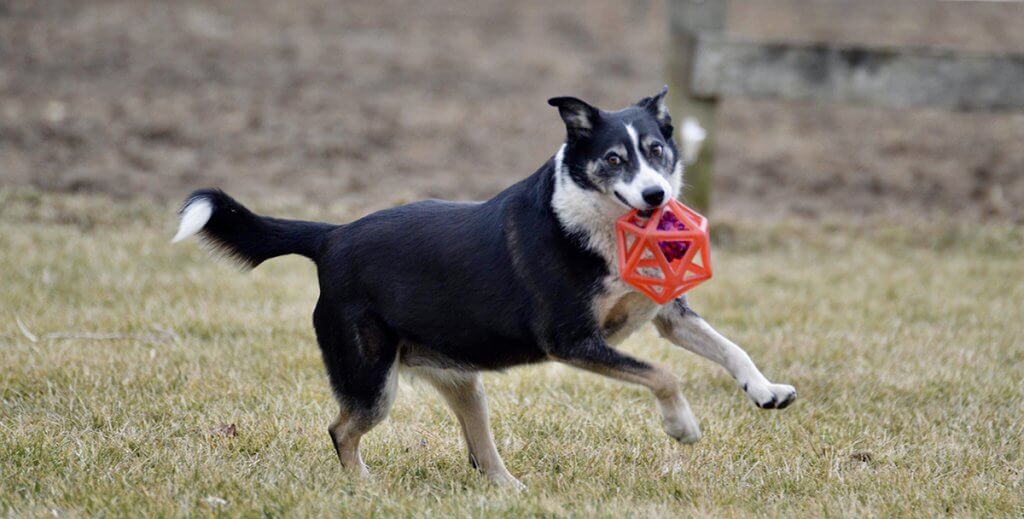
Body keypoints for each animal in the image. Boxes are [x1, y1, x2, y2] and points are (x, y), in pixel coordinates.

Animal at [174, 87, 798, 489]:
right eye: (613, 159)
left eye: (657, 151)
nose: (655, 197)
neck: (593, 224)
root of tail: (332, 237)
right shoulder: (572, 342)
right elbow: (664, 375)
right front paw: (682, 427)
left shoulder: (667, 313)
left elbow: (730, 348)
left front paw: (765, 391)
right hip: (373, 381)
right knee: (341, 428)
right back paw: (363, 488)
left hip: (461, 380)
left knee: (480, 453)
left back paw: (512, 491)